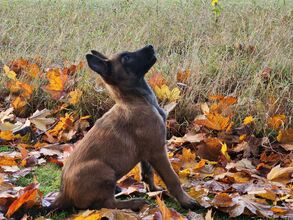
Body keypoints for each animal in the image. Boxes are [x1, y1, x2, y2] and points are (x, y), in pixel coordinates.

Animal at [51, 44, 197, 211]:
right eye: (126, 58)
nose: (150, 46)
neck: (135, 100)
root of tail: (63, 194)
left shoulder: (146, 152)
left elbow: (147, 173)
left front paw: (153, 190)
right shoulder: (157, 150)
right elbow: (172, 178)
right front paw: (186, 200)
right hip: (105, 171)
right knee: (107, 205)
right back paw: (133, 203)